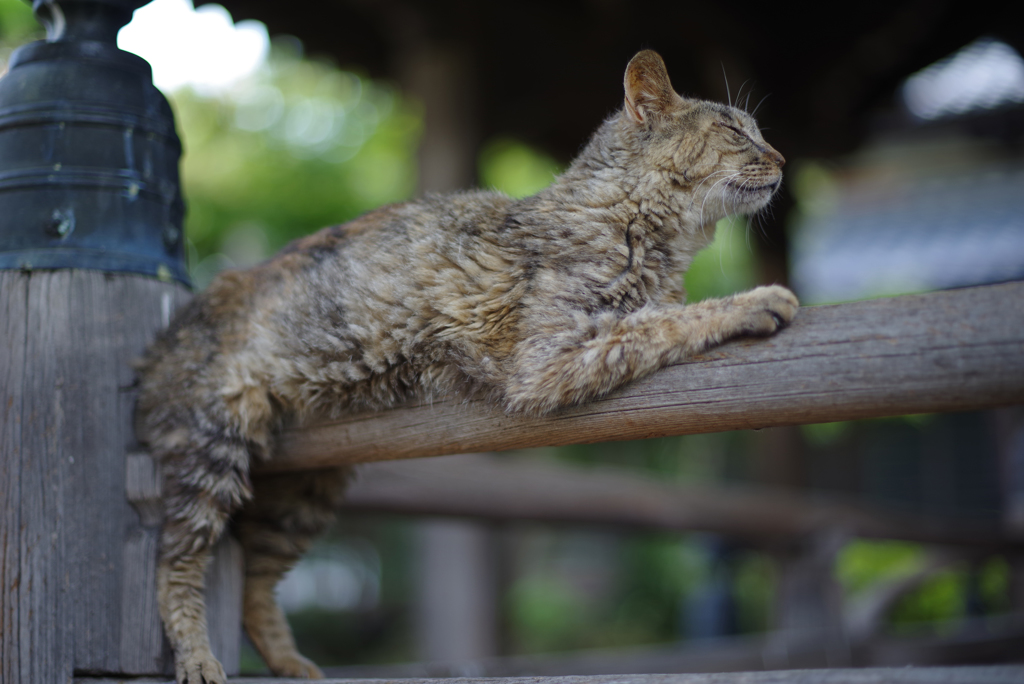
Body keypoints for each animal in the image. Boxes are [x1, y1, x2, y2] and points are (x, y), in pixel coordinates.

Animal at [132, 49, 794, 684]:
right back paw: (198, 660)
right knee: (175, 564)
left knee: (256, 583)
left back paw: (291, 663)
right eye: (736, 131)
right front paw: (756, 300)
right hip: (213, 449)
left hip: (308, 491)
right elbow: (663, 321)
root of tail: (160, 340)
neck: (642, 237)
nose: (783, 158)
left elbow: (659, 317)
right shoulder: (548, 355)